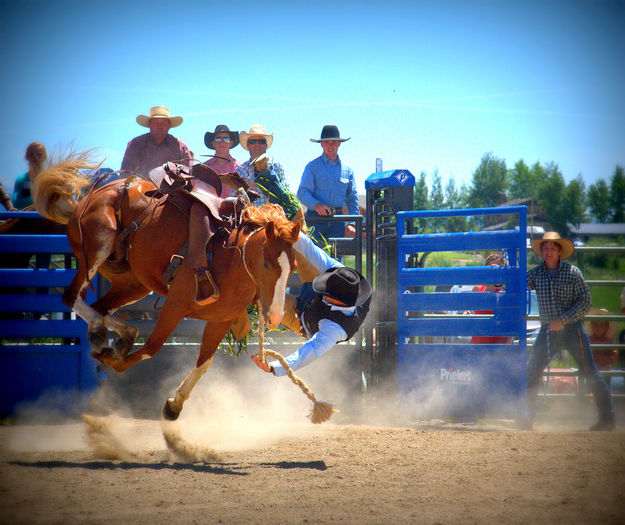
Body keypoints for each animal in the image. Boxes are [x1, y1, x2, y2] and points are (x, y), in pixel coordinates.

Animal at [31, 154, 300, 420]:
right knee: (73, 298)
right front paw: (115, 361)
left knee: (100, 308)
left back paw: (120, 334)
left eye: (294, 267)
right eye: (266, 264)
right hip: (97, 248)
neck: (229, 254)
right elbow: (152, 347)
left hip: (133, 283)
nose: (275, 316)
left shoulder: (220, 320)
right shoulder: (176, 304)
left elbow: (204, 363)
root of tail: (96, 193)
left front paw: (174, 404)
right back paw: (102, 331)